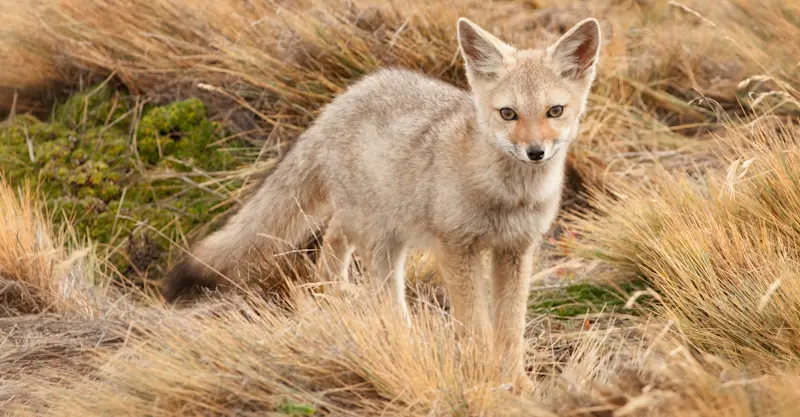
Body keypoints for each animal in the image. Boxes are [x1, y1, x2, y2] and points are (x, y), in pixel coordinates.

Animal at [163, 17, 602, 387]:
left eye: (554, 111)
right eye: (508, 114)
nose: (535, 152)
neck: (509, 196)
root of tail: (339, 101)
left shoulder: (516, 251)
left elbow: (510, 331)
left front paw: (517, 384)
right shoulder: (457, 249)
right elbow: (475, 327)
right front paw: (483, 378)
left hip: (380, 227)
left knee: (335, 235)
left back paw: (331, 291)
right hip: (382, 240)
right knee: (380, 292)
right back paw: (392, 333)